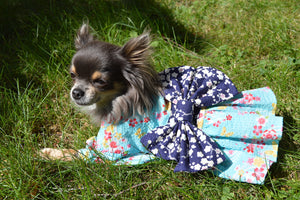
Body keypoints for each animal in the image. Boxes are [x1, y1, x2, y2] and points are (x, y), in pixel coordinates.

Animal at [40, 23, 162, 161]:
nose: (76, 92)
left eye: (100, 81)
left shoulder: (108, 152)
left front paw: (50, 153)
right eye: (72, 75)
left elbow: (74, 153)